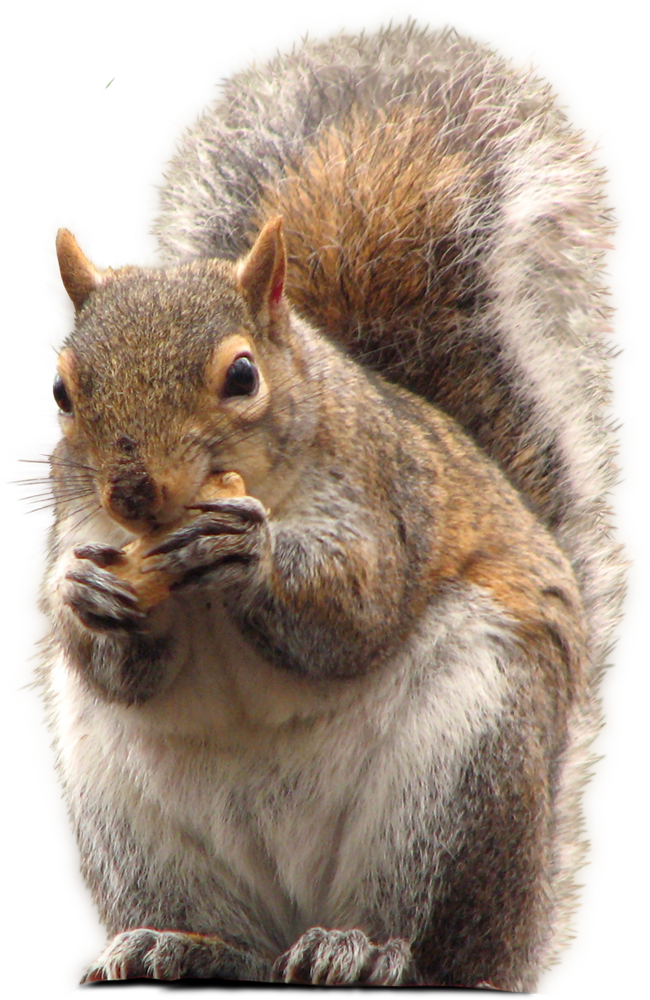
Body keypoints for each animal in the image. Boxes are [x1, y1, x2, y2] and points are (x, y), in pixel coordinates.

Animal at [11, 6, 640, 995]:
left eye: (241, 376)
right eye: (64, 391)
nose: (135, 492)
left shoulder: (383, 493)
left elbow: (356, 612)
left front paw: (252, 556)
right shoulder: (88, 523)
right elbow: (116, 663)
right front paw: (87, 596)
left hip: (465, 775)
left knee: (431, 943)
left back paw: (365, 949)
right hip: (130, 820)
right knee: (227, 931)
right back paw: (173, 944)